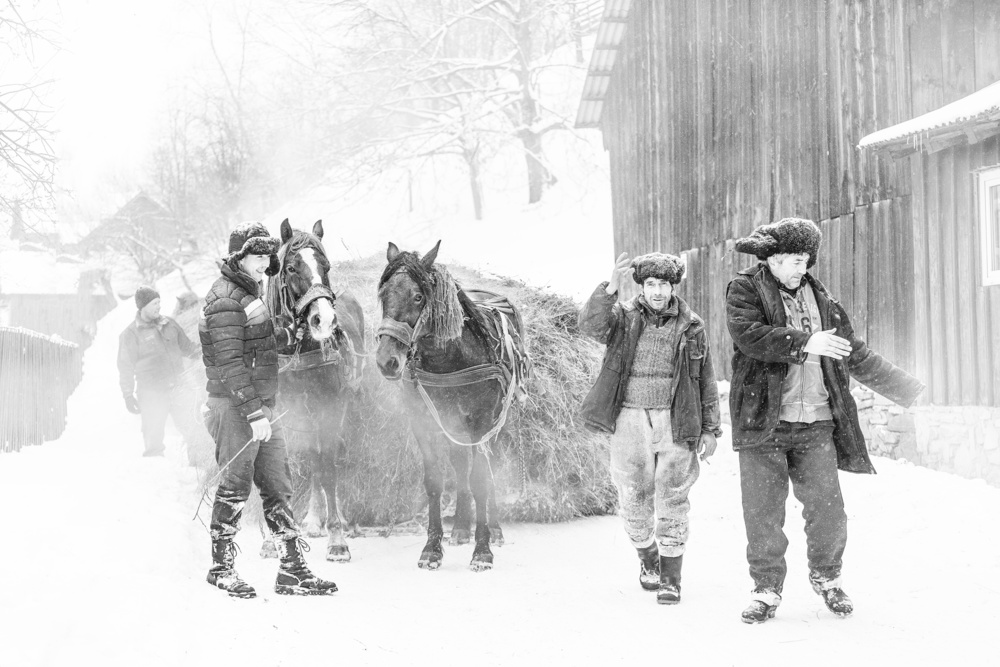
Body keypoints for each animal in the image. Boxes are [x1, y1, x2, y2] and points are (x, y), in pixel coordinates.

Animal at [264, 220, 366, 564]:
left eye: (327, 266)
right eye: (291, 268)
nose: (325, 320)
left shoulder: (328, 410)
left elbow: (327, 467)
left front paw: (337, 538)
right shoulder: (283, 417)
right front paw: (276, 537)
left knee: (331, 460)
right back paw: (311, 519)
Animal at [376, 243, 532, 572]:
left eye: (418, 296)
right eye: (384, 295)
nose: (387, 361)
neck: (450, 359)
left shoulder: (483, 424)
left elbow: (481, 480)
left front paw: (483, 550)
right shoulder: (424, 423)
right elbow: (435, 481)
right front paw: (432, 548)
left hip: (495, 423)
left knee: (487, 466)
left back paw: (494, 529)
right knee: (460, 465)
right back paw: (460, 527)